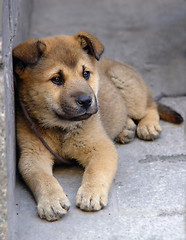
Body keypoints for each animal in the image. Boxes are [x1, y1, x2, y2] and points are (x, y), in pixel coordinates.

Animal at [13, 31, 183, 221]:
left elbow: (95, 171)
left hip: (128, 87)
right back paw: (126, 129)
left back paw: (148, 125)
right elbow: (42, 177)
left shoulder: (101, 148)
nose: (87, 101)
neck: (61, 127)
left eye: (86, 74)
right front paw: (51, 200)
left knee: (150, 105)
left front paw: (91, 193)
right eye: (56, 79)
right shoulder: (33, 156)